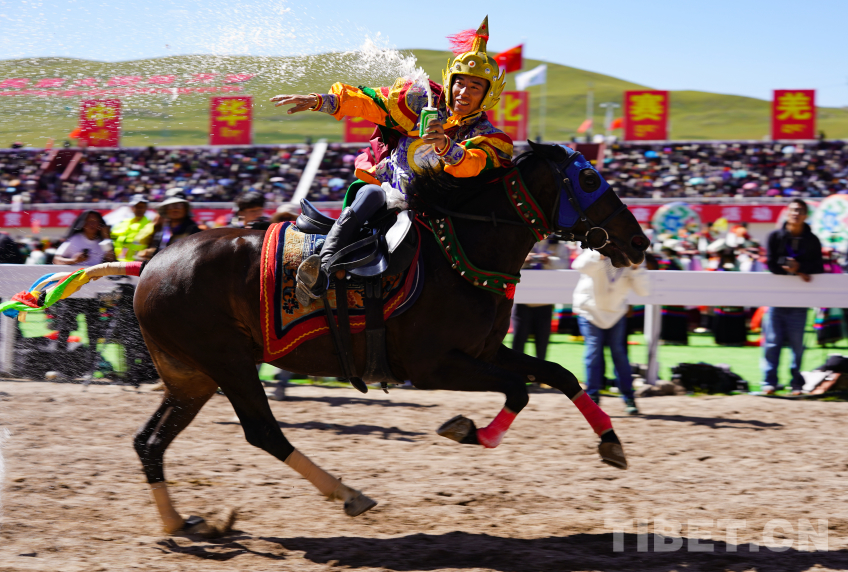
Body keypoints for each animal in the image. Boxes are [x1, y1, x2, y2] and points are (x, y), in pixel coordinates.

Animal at [75, 142, 650, 535]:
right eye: (591, 178)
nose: (640, 241)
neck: (456, 251)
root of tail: (150, 261)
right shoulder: (435, 366)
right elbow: (520, 391)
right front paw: (469, 431)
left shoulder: (485, 352)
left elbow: (558, 373)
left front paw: (612, 443)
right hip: (228, 364)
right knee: (263, 433)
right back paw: (347, 493)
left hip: (190, 375)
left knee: (149, 441)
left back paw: (179, 523)